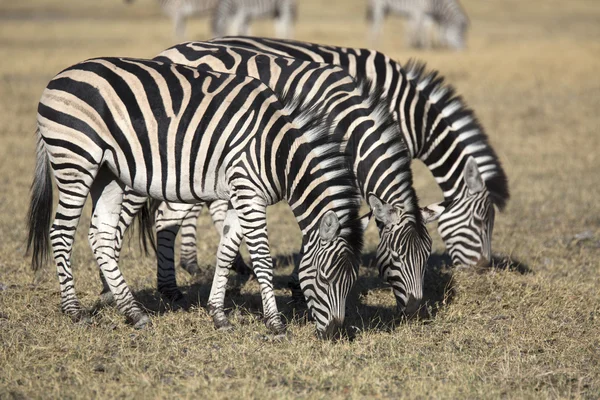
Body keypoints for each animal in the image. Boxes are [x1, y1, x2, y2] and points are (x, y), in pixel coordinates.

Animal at [24, 56, 366, 338]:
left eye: (351, 281)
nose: (335, 333)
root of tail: (57, 78)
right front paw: (275, 324)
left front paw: (218, 315)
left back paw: (134, 313)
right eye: (324, 277)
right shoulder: (249, 194)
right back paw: (74, 311)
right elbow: (261, 257)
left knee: (102, 236)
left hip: (108, 173)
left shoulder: (240, 195)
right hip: (76, 159)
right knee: (61, 233)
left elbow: (226, 251)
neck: (276, 152)